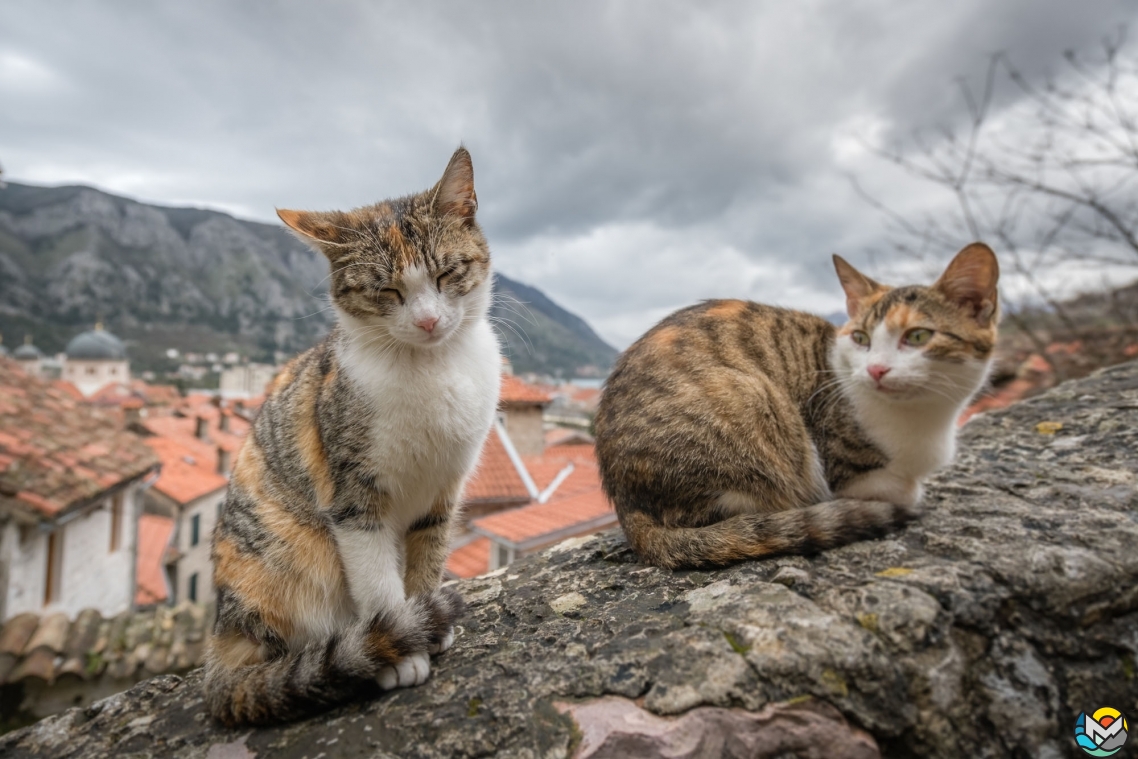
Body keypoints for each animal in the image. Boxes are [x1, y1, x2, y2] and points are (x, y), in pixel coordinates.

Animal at [201, 146, 502, 723]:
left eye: (446, 272)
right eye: (388, 289)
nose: (428, 322)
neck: (429, 369)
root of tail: (223, 652)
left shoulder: (443, 489)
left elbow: (428, 559)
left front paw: (426, 622)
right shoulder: (352, 496)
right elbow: (378, 581)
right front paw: (398, 650)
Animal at [596, 243, 996, 568]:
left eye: (918, 336)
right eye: (861, 338)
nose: (876, 369)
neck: (924, 419)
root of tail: (627, 508)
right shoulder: (845, 467)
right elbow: (892, 489)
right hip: (748, 400)